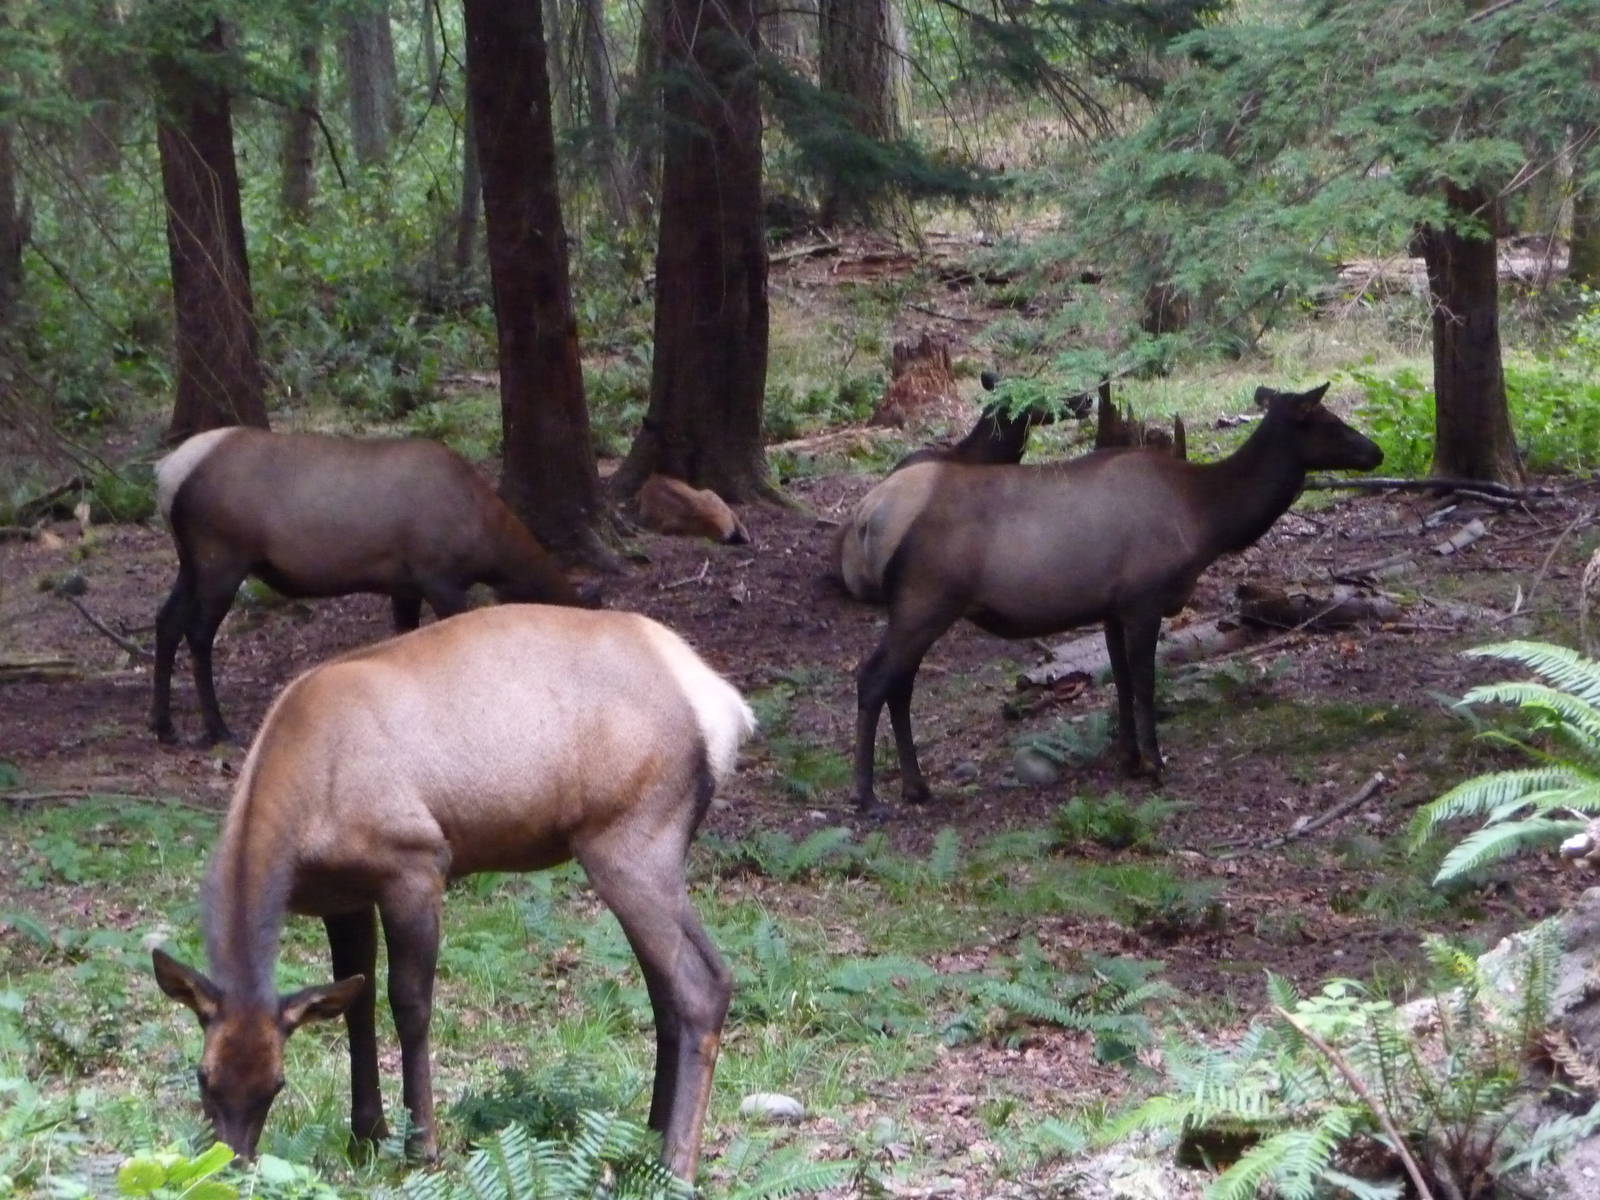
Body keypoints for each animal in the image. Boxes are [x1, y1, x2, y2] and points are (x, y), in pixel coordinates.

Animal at [150, 427, 587, 746]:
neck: (487, 541)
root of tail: (166, 473)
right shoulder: (438, 575)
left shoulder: (405, 584)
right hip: (221, 557)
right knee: (198, 632)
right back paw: (218, 730)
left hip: (189, 561)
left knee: (166, 621)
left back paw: (164, 726)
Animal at [150, 604, 754, 1181]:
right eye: (203, 1075)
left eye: (277, 1082)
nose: (230, 1161)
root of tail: (726, 708)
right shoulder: (344, 896)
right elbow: (357, 1001)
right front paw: (366, 1137)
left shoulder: (415, 864)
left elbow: (409, 1003)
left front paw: (422, 1147)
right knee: (666, 992)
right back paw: (646, 1142)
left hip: (630, 841)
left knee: (703, 983)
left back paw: (677, 1165)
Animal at [843, 383, 1382, 816]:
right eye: (1327, 420)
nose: (1374, 451)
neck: (1207, 518)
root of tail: (870, 515)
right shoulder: (1145, 597)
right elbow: (1144, 681)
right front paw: (1156, 761)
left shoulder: (1111, 608)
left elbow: (1119, 679)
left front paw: (1128, 757)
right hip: (926, 600)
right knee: (874, 679)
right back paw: (868, 797)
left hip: (920, 608)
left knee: (901, 686)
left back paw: (916, 786)